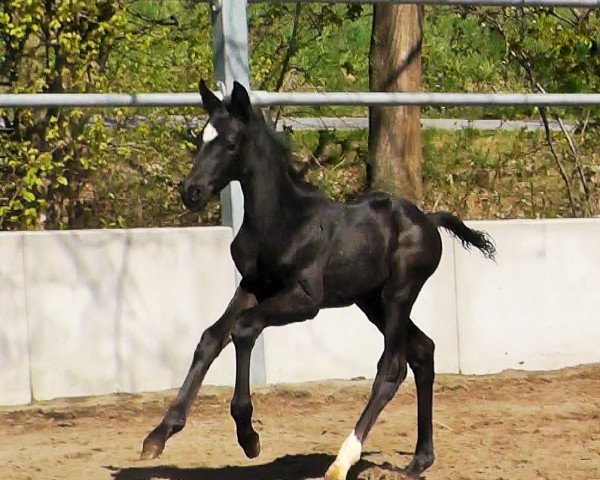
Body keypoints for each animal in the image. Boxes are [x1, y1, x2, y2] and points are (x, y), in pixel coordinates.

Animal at [142, 80, 496, 478]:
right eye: (202, 137)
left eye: (231, 143)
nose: (191, 191)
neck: (281, 220)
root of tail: (429, 220)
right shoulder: (253, 286)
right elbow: (211, 338)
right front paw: (158, 434)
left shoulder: (305, 299)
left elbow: (245, 328)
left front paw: (248, 435)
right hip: (371, 301)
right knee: (423, 350)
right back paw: (419, 459)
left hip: (398, 295)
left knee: (392, 368)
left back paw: (342, 461)